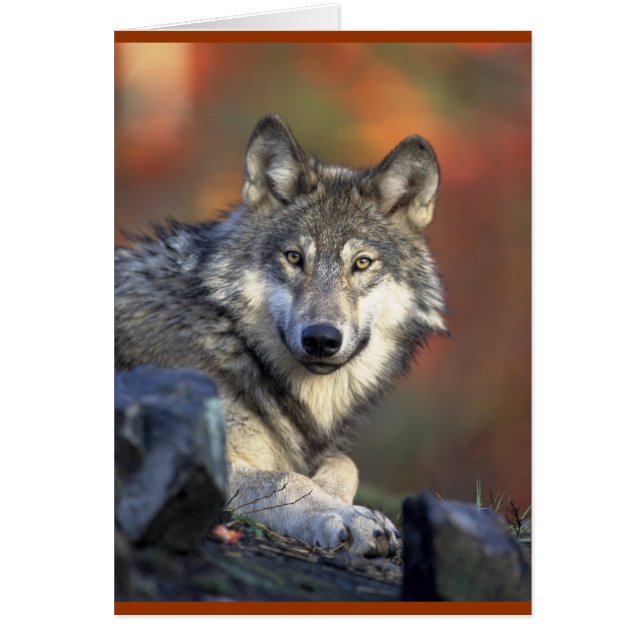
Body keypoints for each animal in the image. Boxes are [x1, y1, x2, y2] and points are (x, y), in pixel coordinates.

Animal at [115, 114, 447, 557]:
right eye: (294, 258)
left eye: (362, 263)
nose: (321, 339)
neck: (234, 341)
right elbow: (287, 479)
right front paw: (348, 517)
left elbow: (345, 463)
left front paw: (343, 502)